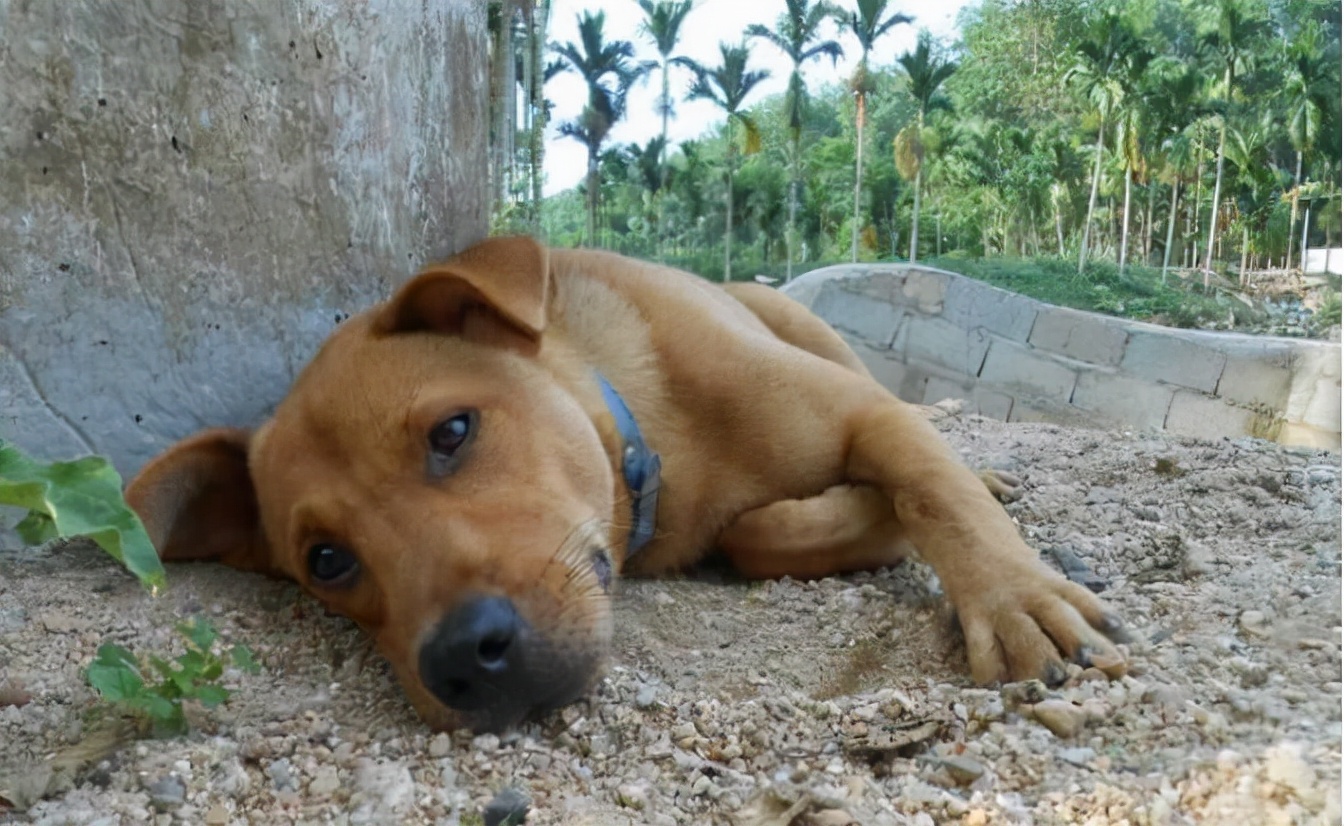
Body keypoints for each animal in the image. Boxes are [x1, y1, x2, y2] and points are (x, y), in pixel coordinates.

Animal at [131, 237, 1128, 730]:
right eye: (328, 561)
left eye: (452, 432)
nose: (460, 660)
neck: (657, 454)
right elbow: (766, 529)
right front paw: (858, 517)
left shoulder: (858, 412)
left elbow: (931, 486)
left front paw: (1015, 596)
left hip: (807, 325)